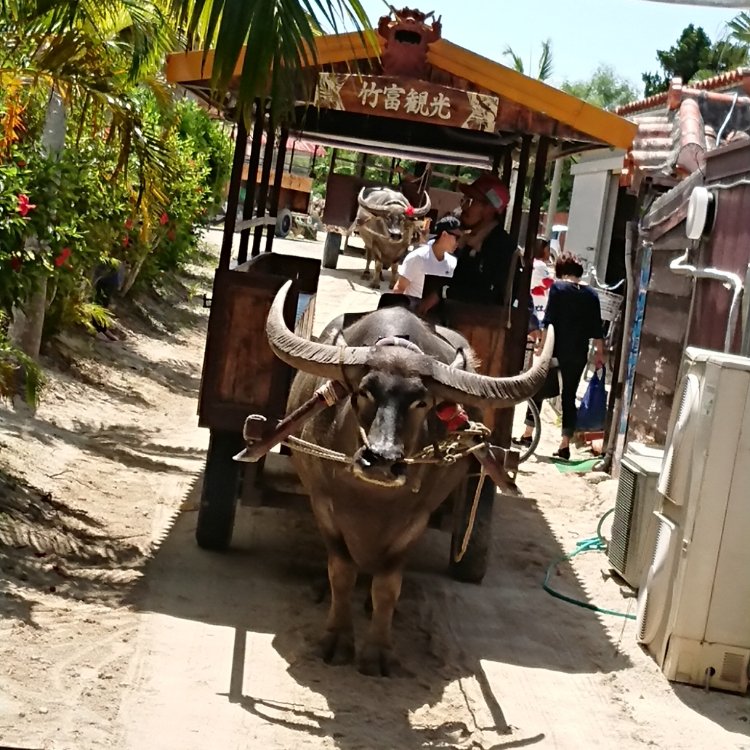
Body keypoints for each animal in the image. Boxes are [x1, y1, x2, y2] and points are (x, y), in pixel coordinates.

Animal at [268, 284, 556, 680]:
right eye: (364, 390)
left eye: (422, 401)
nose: (381, 460)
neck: (371, 501)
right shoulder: (324, 506)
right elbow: (341, 572)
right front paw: (337, 640)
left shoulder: (415, 520)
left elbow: (388, 585)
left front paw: (378, 652)